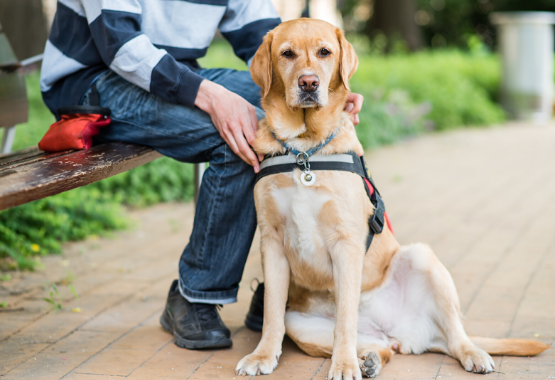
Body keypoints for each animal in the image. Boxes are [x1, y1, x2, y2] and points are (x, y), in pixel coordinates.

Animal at [235, 18, 548, 380]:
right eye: (287, 54)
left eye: (324, 52)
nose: (309, 82)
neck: (304, 153)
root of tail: (404, 334)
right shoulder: (271, 241)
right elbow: (272, 313)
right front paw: (263, 355)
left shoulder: (347, 242)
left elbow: (345, 316)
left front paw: (343, 366)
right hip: (301, 324)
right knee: (383, 348)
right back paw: (369, 357)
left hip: (423, 259)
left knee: (455, 335)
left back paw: (470, 353)